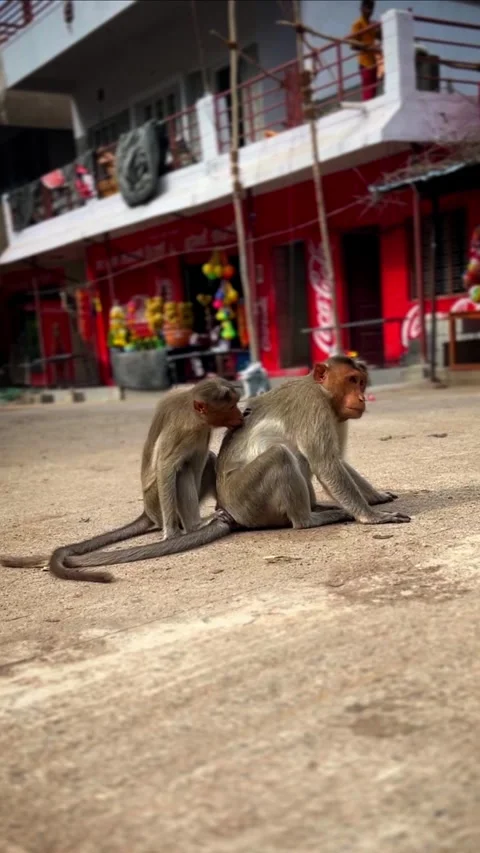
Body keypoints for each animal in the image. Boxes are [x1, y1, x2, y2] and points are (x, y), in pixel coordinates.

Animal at [0, 377, 243, 583]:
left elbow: (198, 461)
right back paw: (193, 525)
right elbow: (166, 468)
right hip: (155, 502)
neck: (193, 410)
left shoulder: (202, 431)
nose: (240, 416)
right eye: (231, 406)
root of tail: (147, 511)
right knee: (180, 472)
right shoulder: (184, 430)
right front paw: (174, 533)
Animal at [50, 356, 409, 570]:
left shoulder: (337, 416)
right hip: (249, 499)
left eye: (361, 381)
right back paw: (310, 519)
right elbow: (325, 462)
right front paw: (371, 516)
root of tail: (228, 510)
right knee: (282, 455)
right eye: (351, 380)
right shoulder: (315, 408)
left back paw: (318, 508)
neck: (322, 392)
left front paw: (376, 496)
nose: (361, 398)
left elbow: (336, 461)